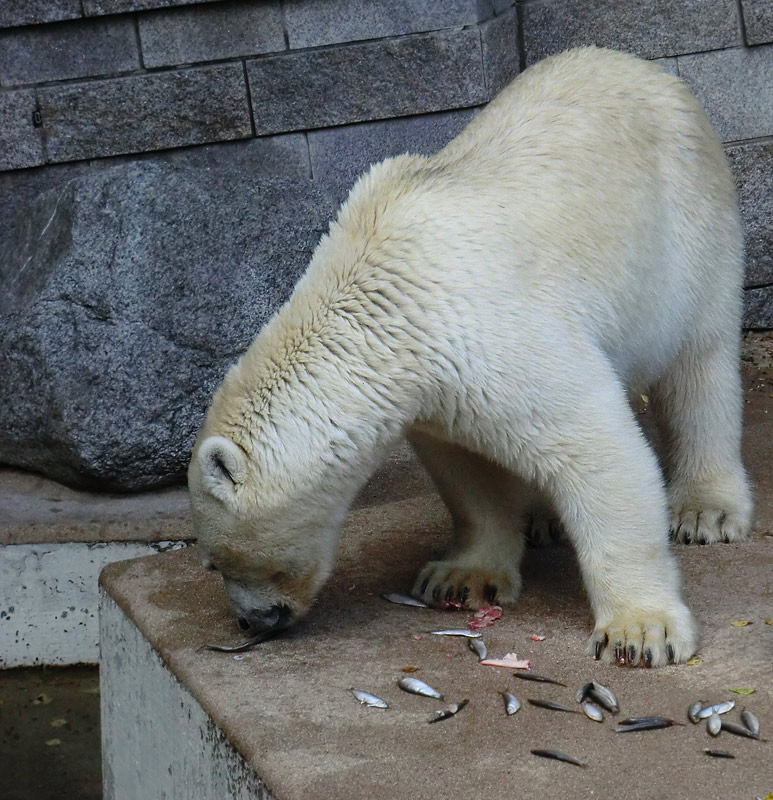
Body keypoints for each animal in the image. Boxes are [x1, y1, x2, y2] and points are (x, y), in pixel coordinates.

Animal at [190, 47, 752, 664]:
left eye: (217, 560)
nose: (252, 621)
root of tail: (645, 69)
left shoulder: (491, 335)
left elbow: (595, 444)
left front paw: (639, 631)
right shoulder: (433, 386)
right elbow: (468, 469)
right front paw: (461, 578)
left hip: (688, 228)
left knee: (700, 362)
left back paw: (704, 508)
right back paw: (542, 519)